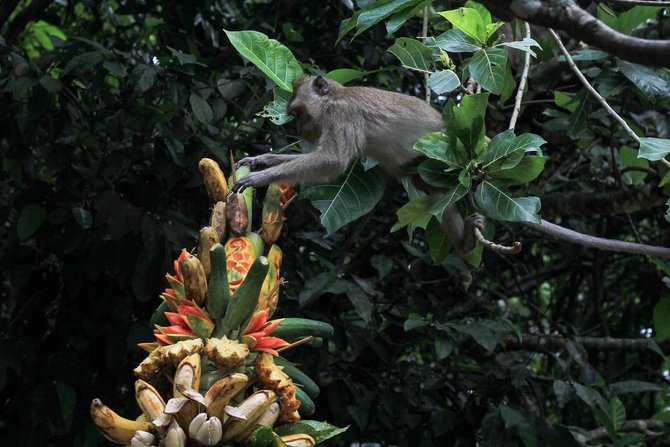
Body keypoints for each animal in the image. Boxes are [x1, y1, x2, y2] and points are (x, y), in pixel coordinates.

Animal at [234, 75, 480, 254]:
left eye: (297, 113)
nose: (298, 129)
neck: (333, 98)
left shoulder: (341, 114)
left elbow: (332, 160)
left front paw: (259, 178)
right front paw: (260, 160)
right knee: (438, 195)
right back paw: (466, 243)